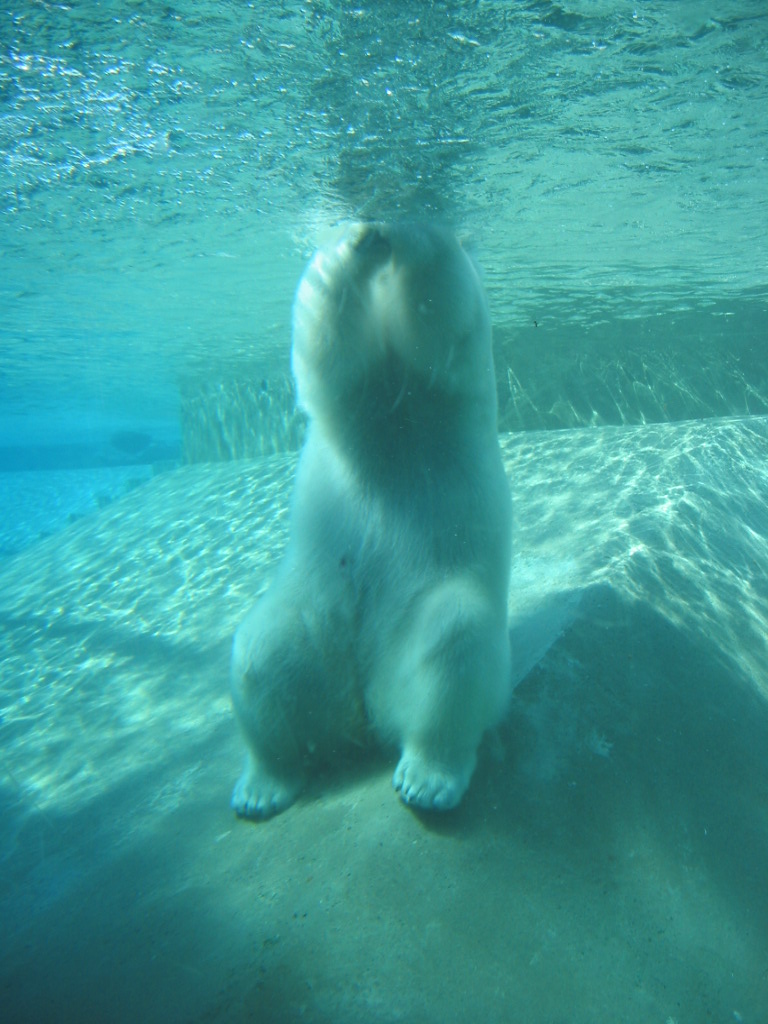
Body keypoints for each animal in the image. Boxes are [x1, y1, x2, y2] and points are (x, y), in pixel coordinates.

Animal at [230, 222, 512, 818]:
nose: (378, 236)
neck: (390, 406)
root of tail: (360, 712)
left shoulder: (449, 377)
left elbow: (444, 320)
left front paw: (410, 230)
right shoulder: (354, 393)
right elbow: (325, 353)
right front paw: (357, 236)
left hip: (421, 612)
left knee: (454, 642)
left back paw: (426, 778)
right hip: (310, 616)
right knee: (261, 655)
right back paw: (265, 785)